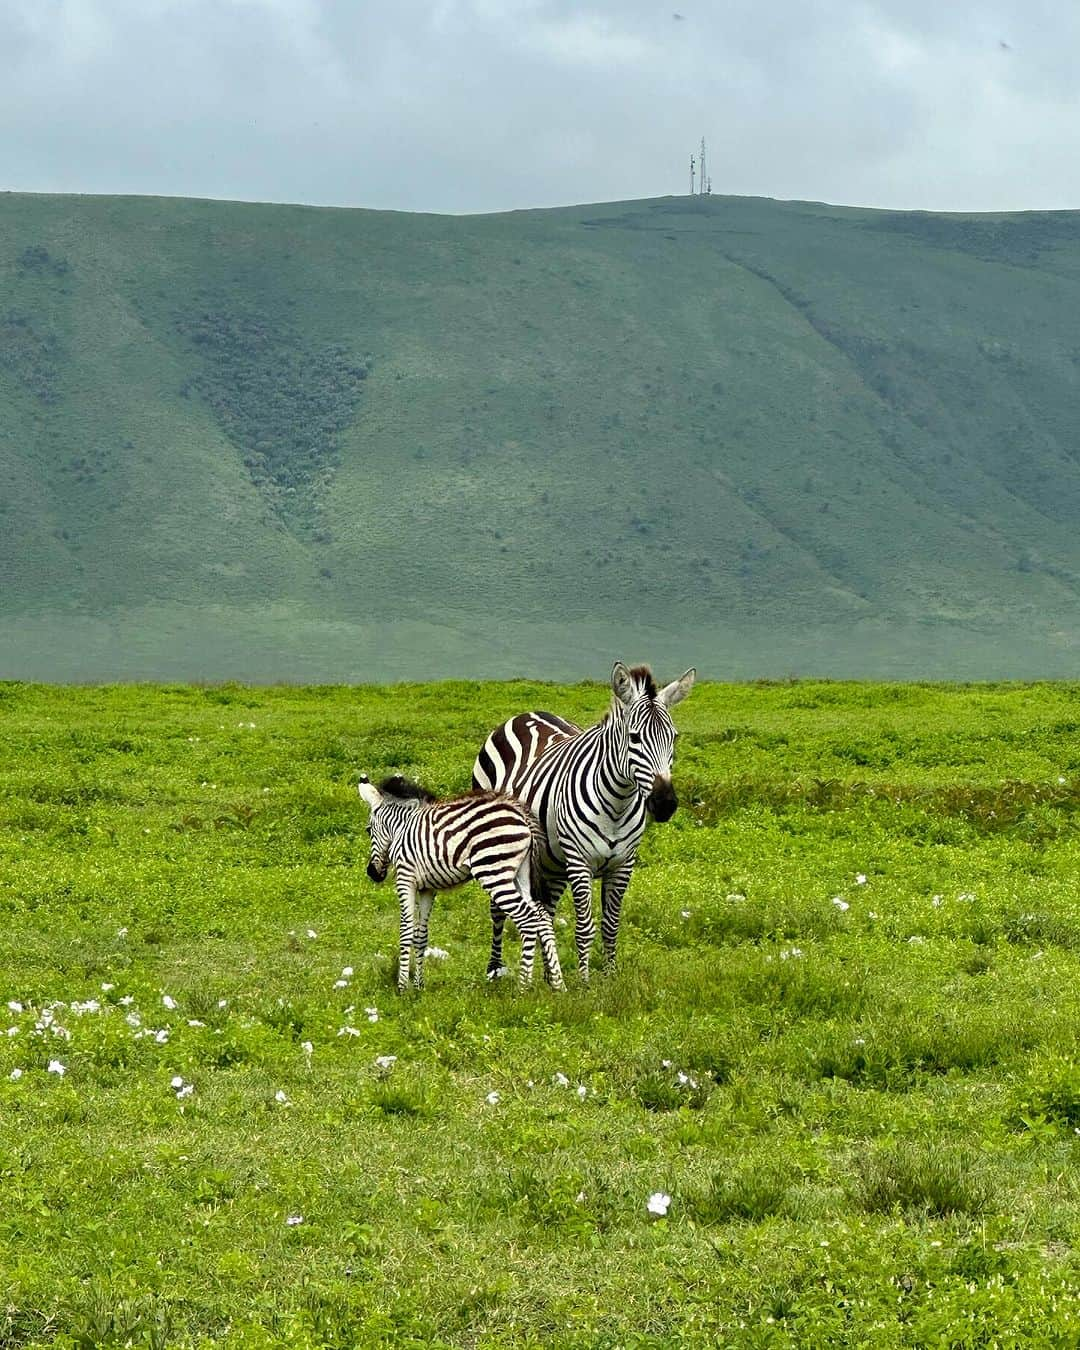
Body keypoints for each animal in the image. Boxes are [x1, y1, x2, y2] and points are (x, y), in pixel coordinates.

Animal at [361, 772, 564, 993]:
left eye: (368, 830)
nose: (372, 873)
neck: (401, 830)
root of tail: (522, 815)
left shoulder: (406, 878)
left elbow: (406, 931)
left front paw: (402, 988)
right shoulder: (427, 888)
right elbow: (420, 935)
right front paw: (419, 986)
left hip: (493, 871)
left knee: (527, 918)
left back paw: (523, 987)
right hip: (520, 874)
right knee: (541, 914)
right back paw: (558, 983)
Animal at [475, 656, 696, 982]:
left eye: (674, 738)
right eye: (634, 738)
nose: (665, 803)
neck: (617, 803)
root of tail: (528, 713)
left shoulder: (623, 865)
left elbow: (611, 926)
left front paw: (609, 977)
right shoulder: (579, 863)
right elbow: (584, 928)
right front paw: (585, 982)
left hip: (552, 864)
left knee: (545, 912)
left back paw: (547, 976)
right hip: (497, 843)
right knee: (498, 910)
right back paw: (494, 969)